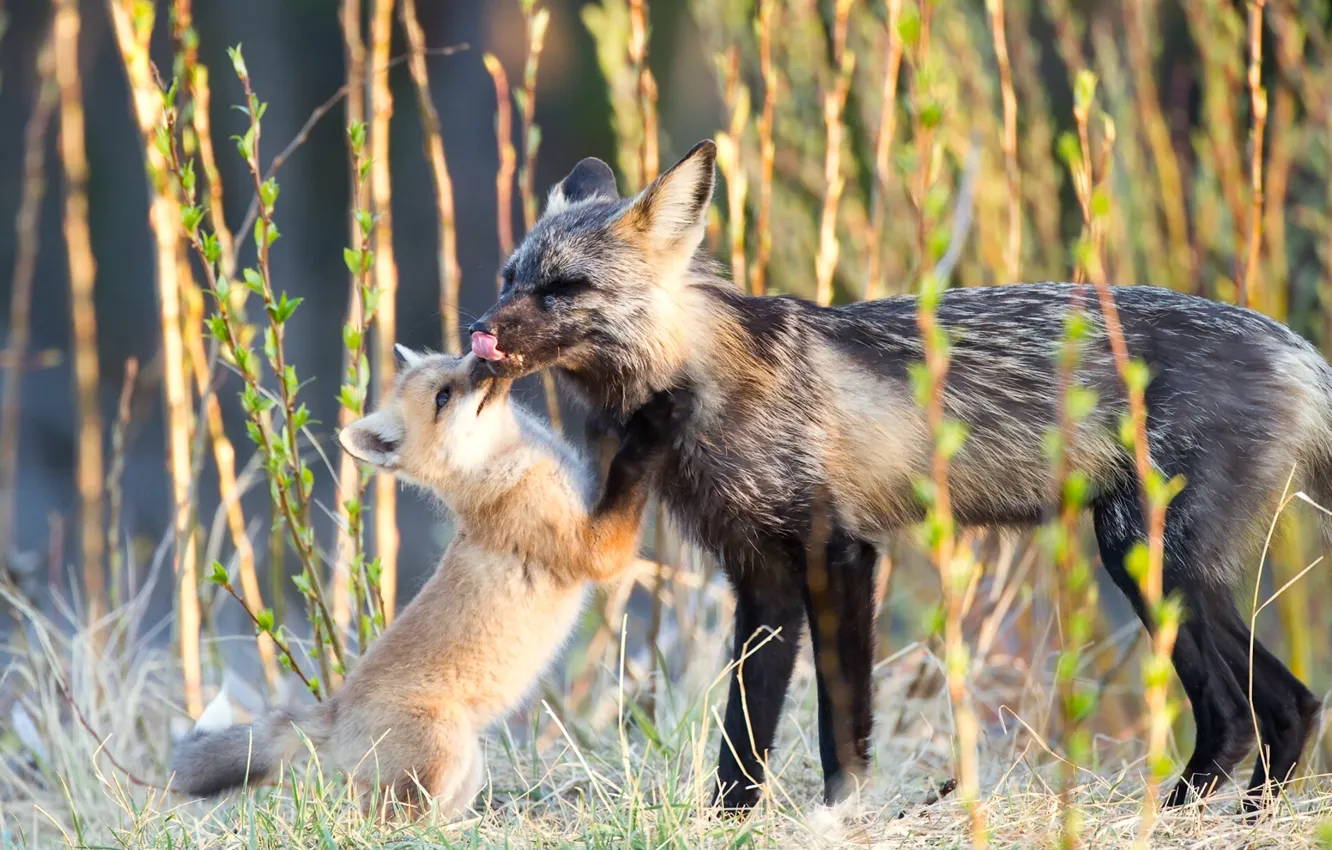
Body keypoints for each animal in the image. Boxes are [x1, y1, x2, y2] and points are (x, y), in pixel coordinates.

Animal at [466, 139, 1321, 810]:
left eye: (565, 288)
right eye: (509, 277)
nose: (478, 331)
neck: (701, 391)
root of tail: (1296, 347)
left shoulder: (840, 552)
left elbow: (840, 726)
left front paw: (840, 815)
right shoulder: (760, 575)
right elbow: (743, 736)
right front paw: (728, 823)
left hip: (1150, 562)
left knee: (1259, 711)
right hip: (1158, 570)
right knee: (1275, 709)